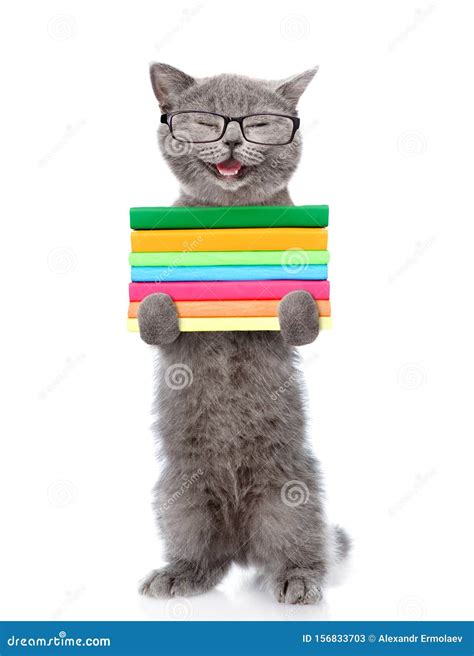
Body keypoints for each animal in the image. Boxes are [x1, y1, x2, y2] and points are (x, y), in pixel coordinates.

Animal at [137, 62, 348, 604]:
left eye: (261, 123)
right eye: (206, 121)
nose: (232, 139)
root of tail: (242, 541)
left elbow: (301, 319)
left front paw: (296, 298)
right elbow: (156, 322)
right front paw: (156, 301)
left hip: (292, 495)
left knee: (301, 548)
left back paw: (297, 580)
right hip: (177, 494)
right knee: (204, 558)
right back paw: (178, 574)